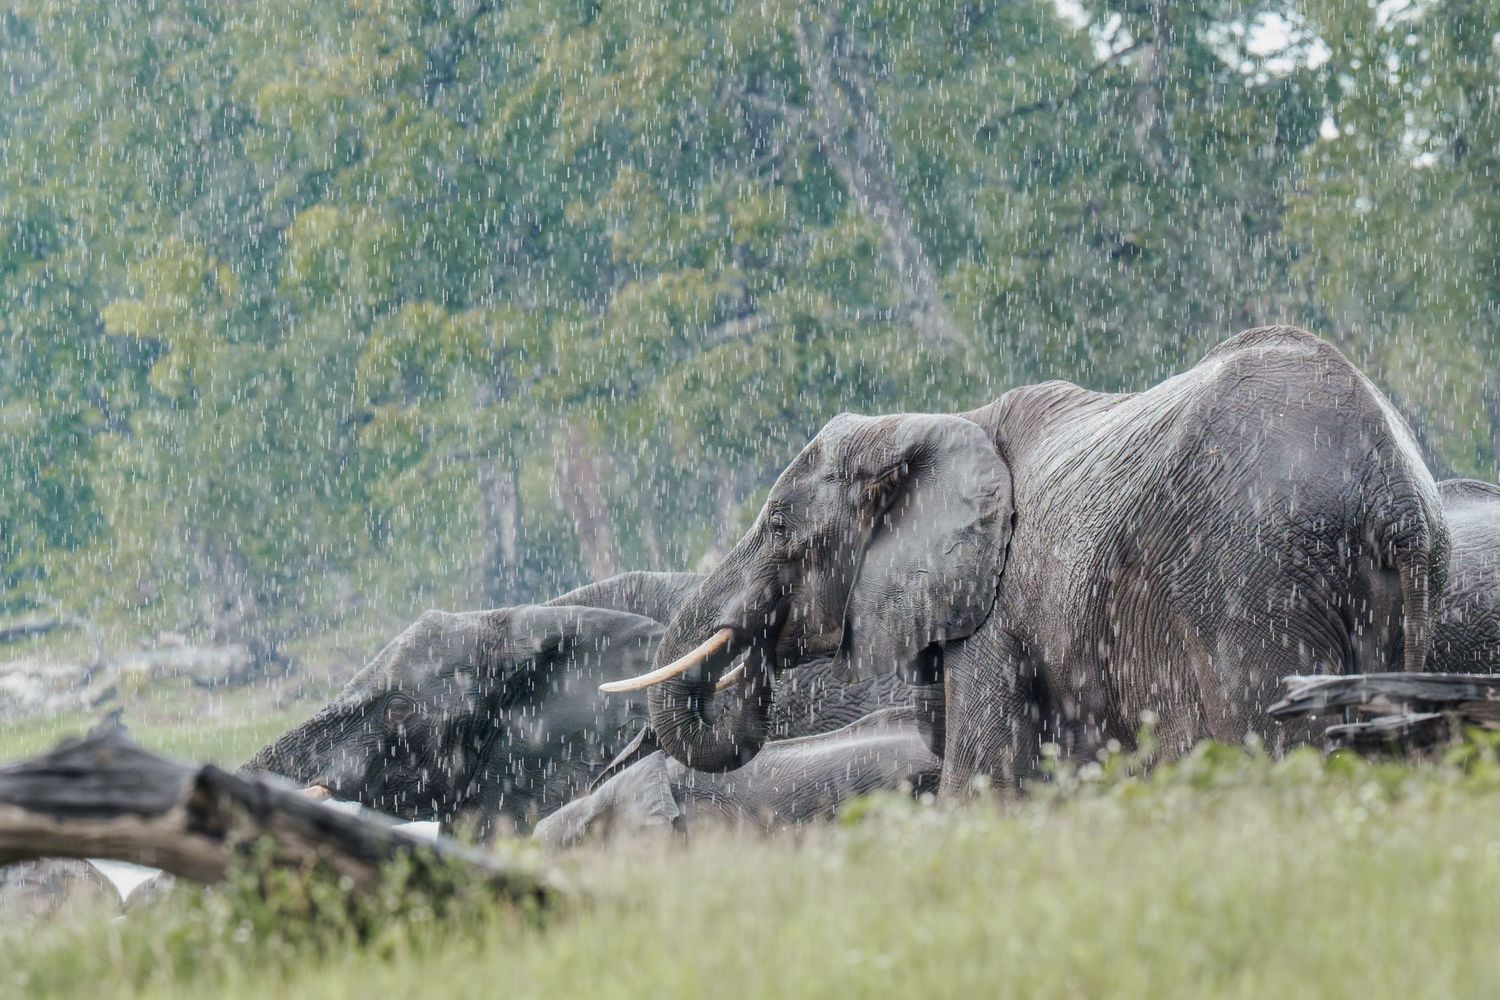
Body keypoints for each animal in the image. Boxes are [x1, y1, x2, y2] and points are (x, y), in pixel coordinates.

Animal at [606, 326, 1447, 794]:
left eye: (780, 524)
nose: (748, 663)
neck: (935, 421)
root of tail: (1391, 497)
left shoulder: (998, 613)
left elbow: (980, 777)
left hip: (1254, 583)